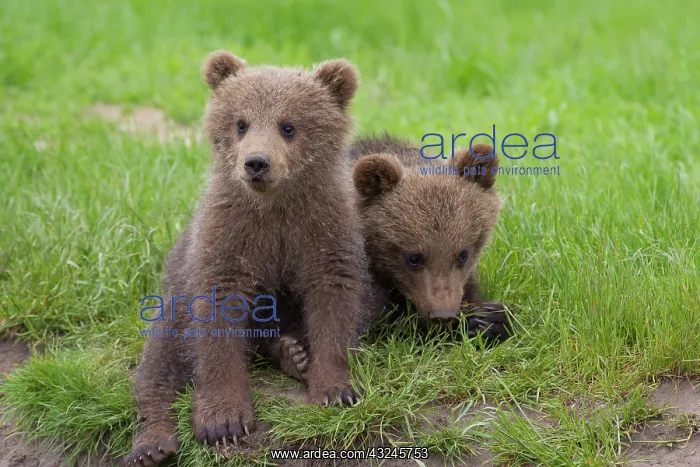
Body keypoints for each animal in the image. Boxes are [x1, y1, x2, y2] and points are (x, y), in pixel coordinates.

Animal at [124, 51, 370, 466]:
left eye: (288, 126)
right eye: (241, 122)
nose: (256, 162)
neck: (274, 205)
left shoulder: (322, 228)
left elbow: (332, 298)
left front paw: (335, 389)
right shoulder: (230, 236)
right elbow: (218, 314)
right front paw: (222, 421)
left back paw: (292, 353)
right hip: (173, 300)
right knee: (158, 366)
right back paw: (152, 443)